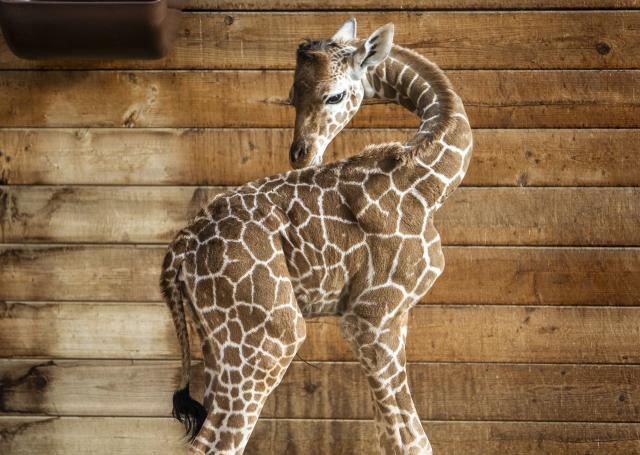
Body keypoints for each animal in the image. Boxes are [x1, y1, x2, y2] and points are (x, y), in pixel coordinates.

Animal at [160, 18, 472, 455]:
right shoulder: (372, 316)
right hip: (272, 337)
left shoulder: (391, 318)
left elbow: (390, 435)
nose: (301, 155)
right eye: (294, 97)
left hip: (216, 342)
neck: (428, 182)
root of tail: (178, 252)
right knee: (219, 441)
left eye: (334, 95)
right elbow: (411, 441)